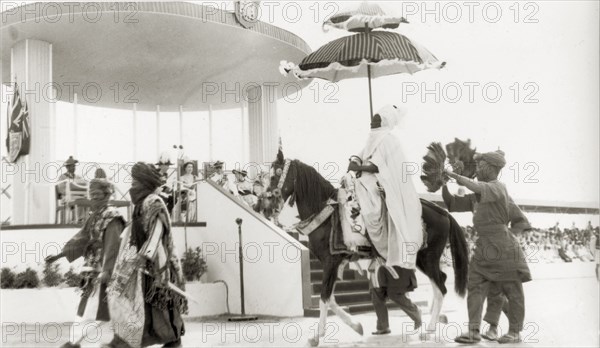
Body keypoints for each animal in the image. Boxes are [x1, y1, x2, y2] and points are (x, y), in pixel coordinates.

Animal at [264, 149, 472, 346]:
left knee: (441, 287)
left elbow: (324, 297)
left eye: (276, 175)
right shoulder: (334, 264)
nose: (266, 206)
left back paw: (428, 330)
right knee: (440, 283)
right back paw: (434, 322)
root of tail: (443, 212)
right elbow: (331, 299)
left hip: (427, 257)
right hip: (425, 259)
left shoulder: (330, 262)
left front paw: (316, 336)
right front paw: (356, 325)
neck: (325, 213)